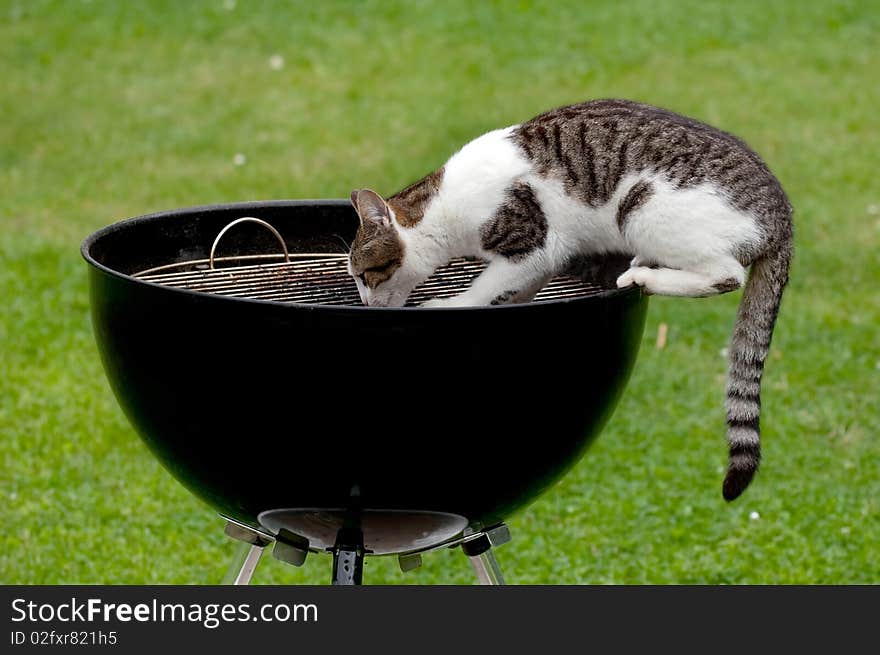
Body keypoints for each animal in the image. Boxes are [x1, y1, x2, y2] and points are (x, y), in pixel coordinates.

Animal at [348, 98, 796, 502]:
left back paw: (643, 274)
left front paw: (453, 305)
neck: (440, 210)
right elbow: (519, 288)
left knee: (727, 274)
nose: (365, 305)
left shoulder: (534, 243)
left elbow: (485, 285)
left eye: (364, 275)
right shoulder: (548, 257)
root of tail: (782, 215)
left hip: (643, 207)